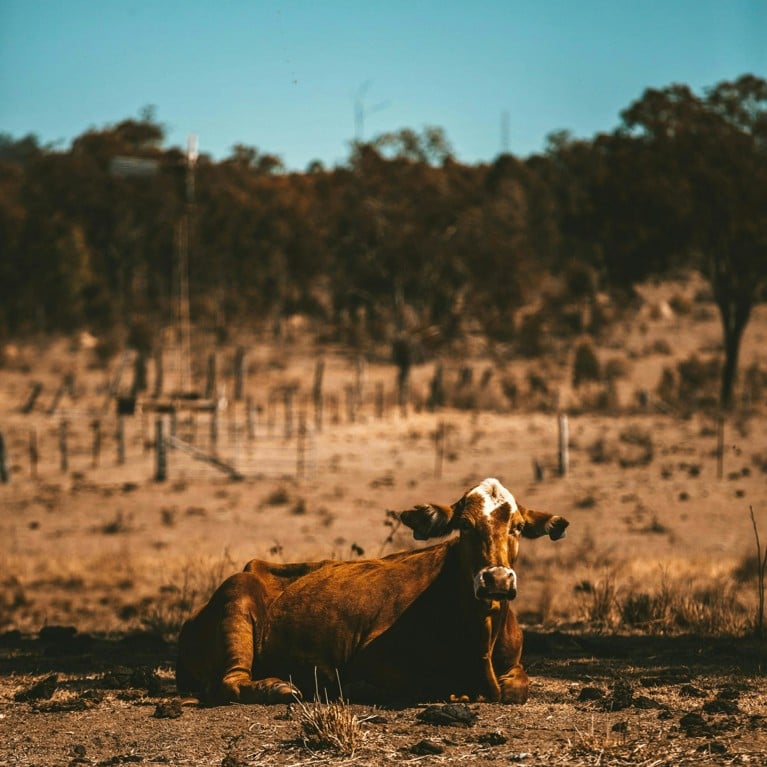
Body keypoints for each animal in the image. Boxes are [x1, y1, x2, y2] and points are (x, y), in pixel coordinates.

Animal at [176, 478, 568, 705]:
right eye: (465, 526)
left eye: (517, 527)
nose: (497, 580)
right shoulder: (373, 659)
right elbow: (428, 683)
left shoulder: (514, 666)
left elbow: (516, 689)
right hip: (236, 600)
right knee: (229, 682)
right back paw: (278, 687)